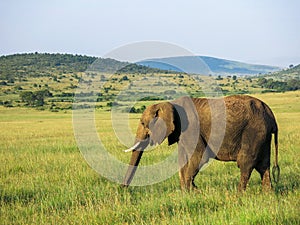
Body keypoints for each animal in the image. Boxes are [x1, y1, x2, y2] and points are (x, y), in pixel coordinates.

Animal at [122, 95, 278, 192]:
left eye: (143, 123)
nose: (123, 189)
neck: (169, 103)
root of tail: (270, 113)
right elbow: (182, 159)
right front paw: (187, 192)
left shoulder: (192, 128)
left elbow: (199, 156)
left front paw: (193, 190)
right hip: (263, 135)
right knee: (263, 165)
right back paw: (268, 194)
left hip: (254, 130)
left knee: (245, 163)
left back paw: (239, 194)